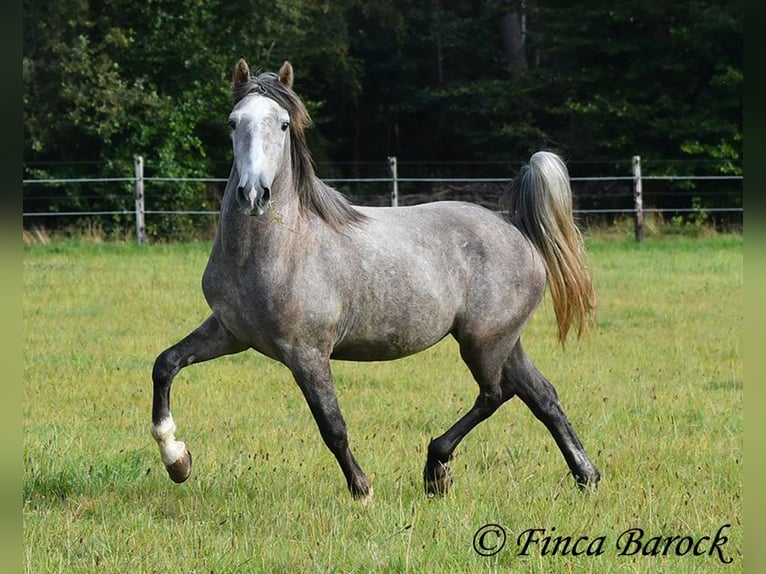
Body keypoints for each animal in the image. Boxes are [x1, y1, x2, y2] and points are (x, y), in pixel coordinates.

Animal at [150, 56, 604, 502]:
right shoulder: (231, 332)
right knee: (541, 395)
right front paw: (177, 460)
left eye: (282, 124)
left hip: (482, 341)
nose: (253, 194)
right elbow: (165, 364)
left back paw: (436, 469)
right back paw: (586, 476)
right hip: (503, 340)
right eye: (233, 122)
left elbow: (332, 425)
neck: (278, 251)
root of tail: (516, 229)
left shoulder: (307, 353)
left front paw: (362, 490)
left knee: (496, 393)